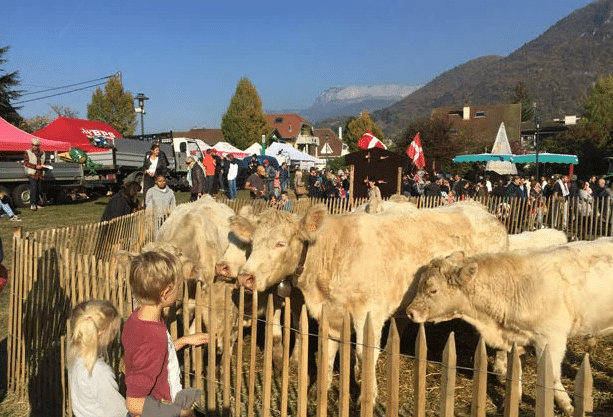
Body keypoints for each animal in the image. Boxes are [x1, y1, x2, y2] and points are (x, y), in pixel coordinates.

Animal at [406, 236, 613, 414]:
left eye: (433, 290)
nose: (410, 311)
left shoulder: (551, 339)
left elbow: (552, 377)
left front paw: (567, 406)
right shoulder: (516, 341)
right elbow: (515, 373)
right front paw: (511, 402)